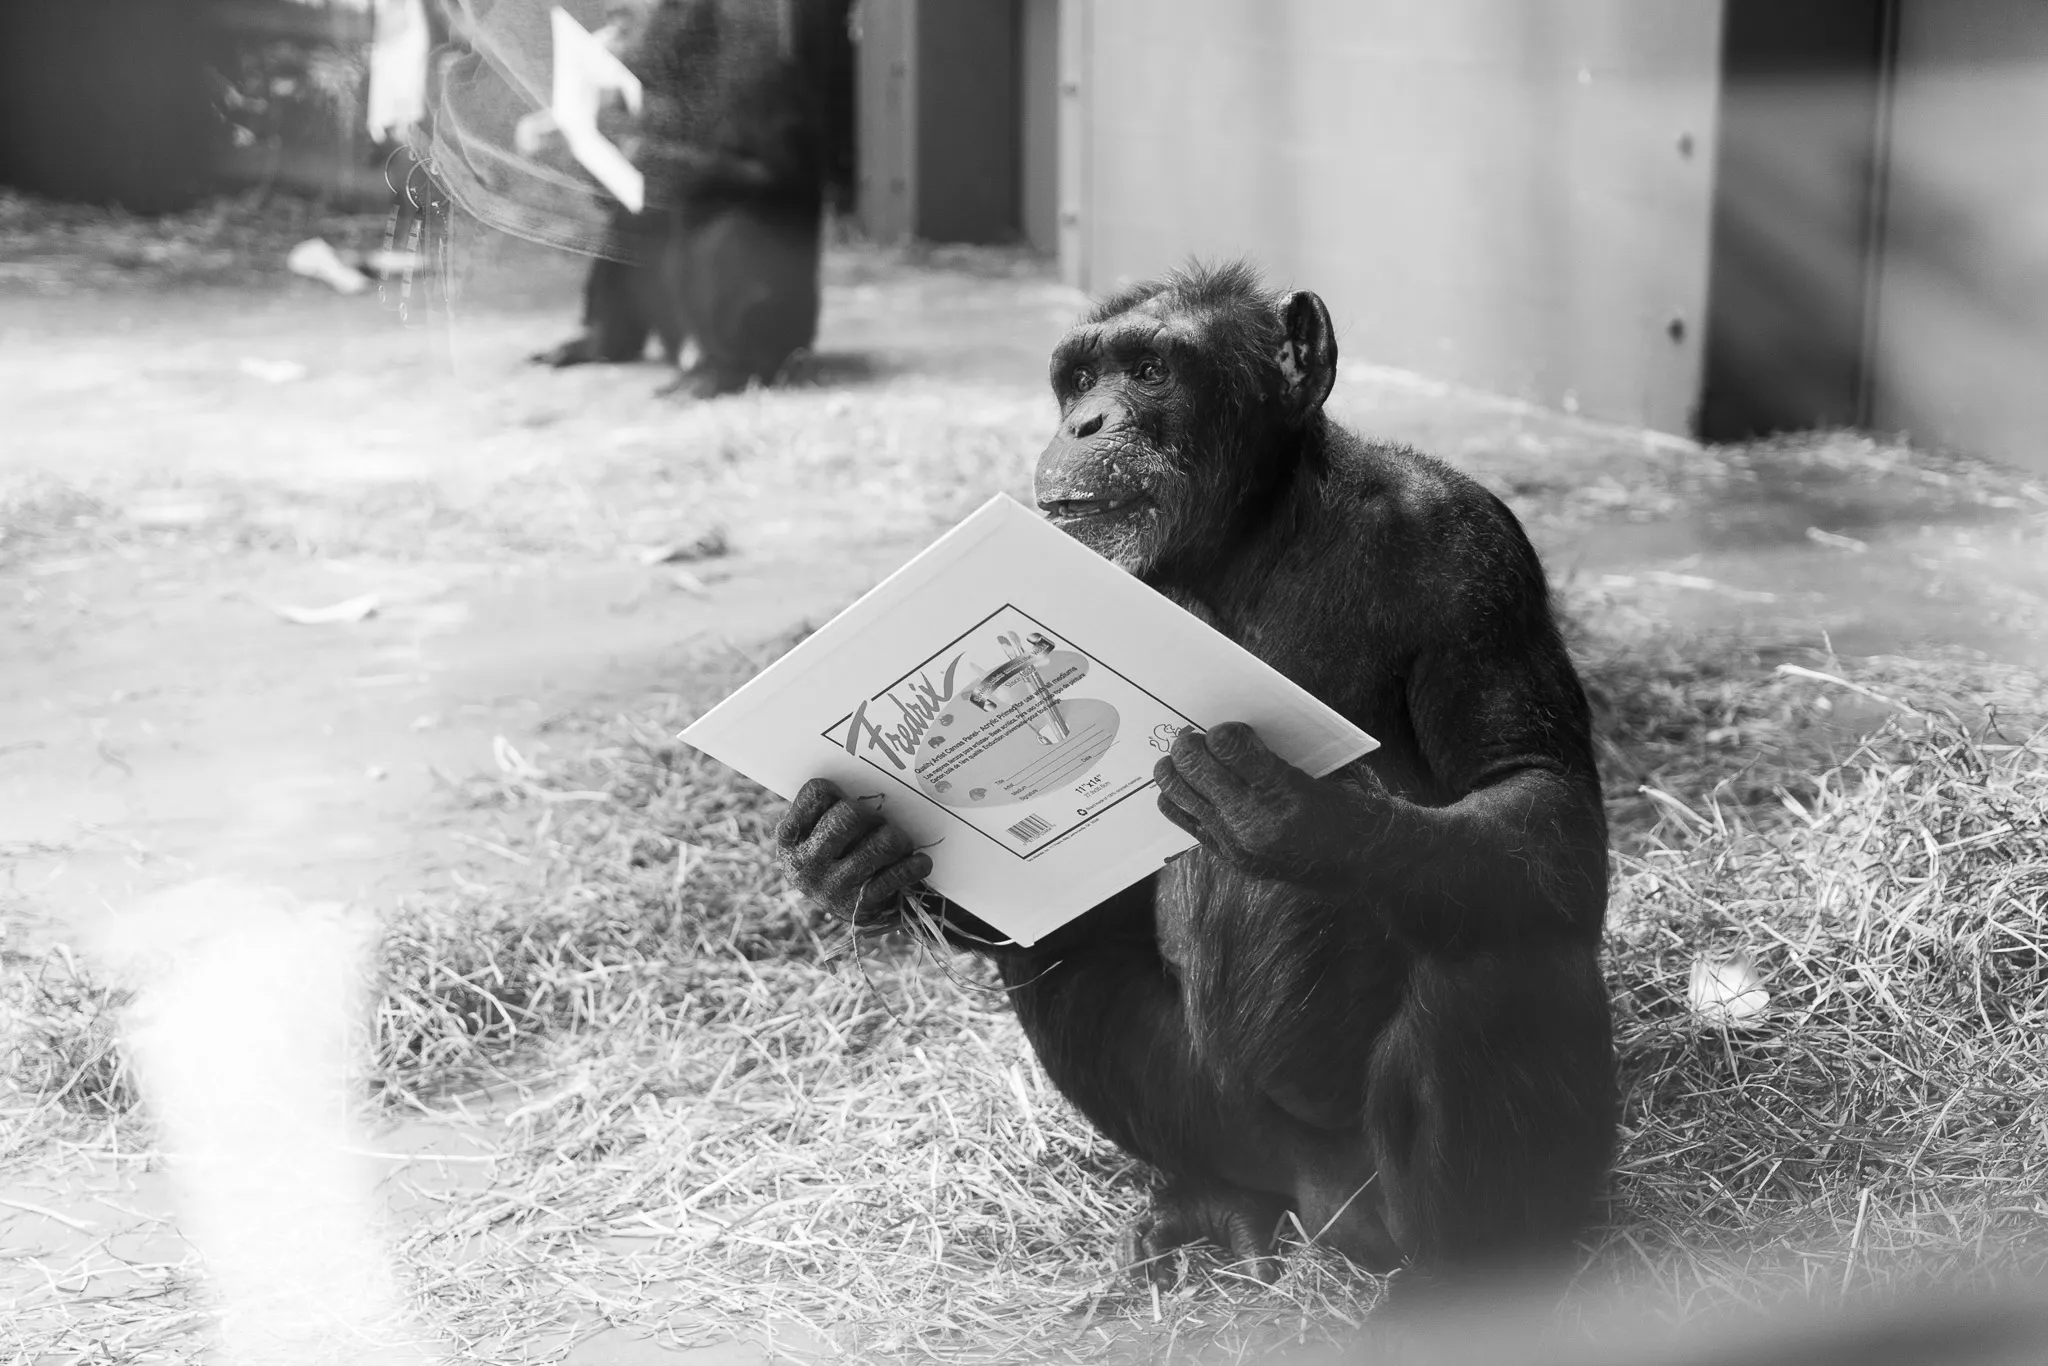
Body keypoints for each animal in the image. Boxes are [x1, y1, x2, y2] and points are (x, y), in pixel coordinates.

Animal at [532, 0, 851, 397]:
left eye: (622, 21)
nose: (608, 44)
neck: (687, 54)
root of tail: (683, 353)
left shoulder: (753, 71)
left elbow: (772, 173)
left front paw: (636, 153)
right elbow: (619, 201)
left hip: (787, 339)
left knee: (727, 233)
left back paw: (725, 370)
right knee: (626, 229)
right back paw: (603, 342)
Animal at [774, 262, 1622, 1302]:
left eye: (1147, 369)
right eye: (1078, 378)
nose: (1086, 423)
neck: (1247, 539)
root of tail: (1328, 1212)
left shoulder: (1469, 552)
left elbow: (1535, 791)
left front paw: (1291, 812)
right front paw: (852, 849)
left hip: (1388, 1191)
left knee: (1498, 947)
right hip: (1246, 1135)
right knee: (1059, 959)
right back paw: (1214, 1203)